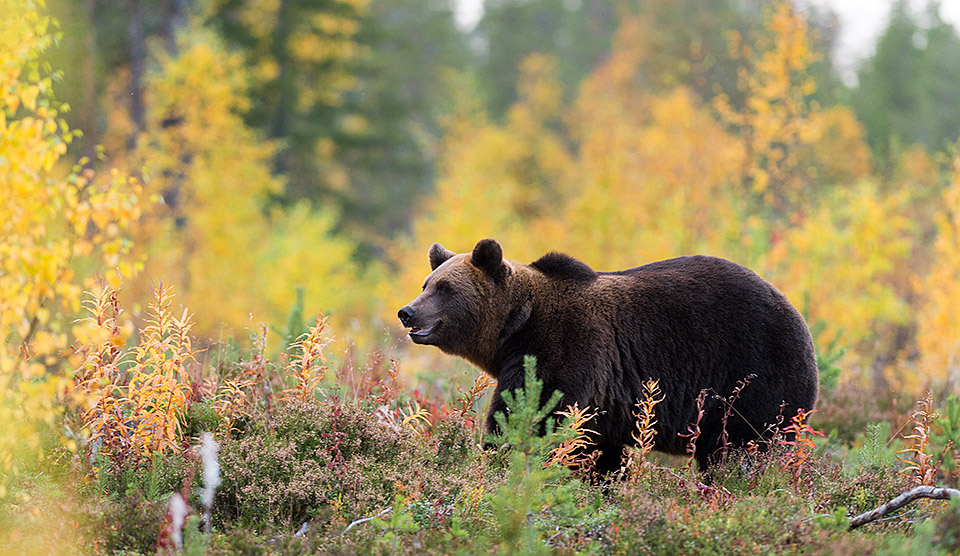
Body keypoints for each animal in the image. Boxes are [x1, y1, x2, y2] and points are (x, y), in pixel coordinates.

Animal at [398, 237, 816, 472]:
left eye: (445, 288)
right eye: (426, 283)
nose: (407, 312)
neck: (515, 328)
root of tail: (796, 314)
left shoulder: (565, 352)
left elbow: (532, 421)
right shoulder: (602, 397)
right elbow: (597, 451)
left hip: (752, 376)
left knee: (744, 447)